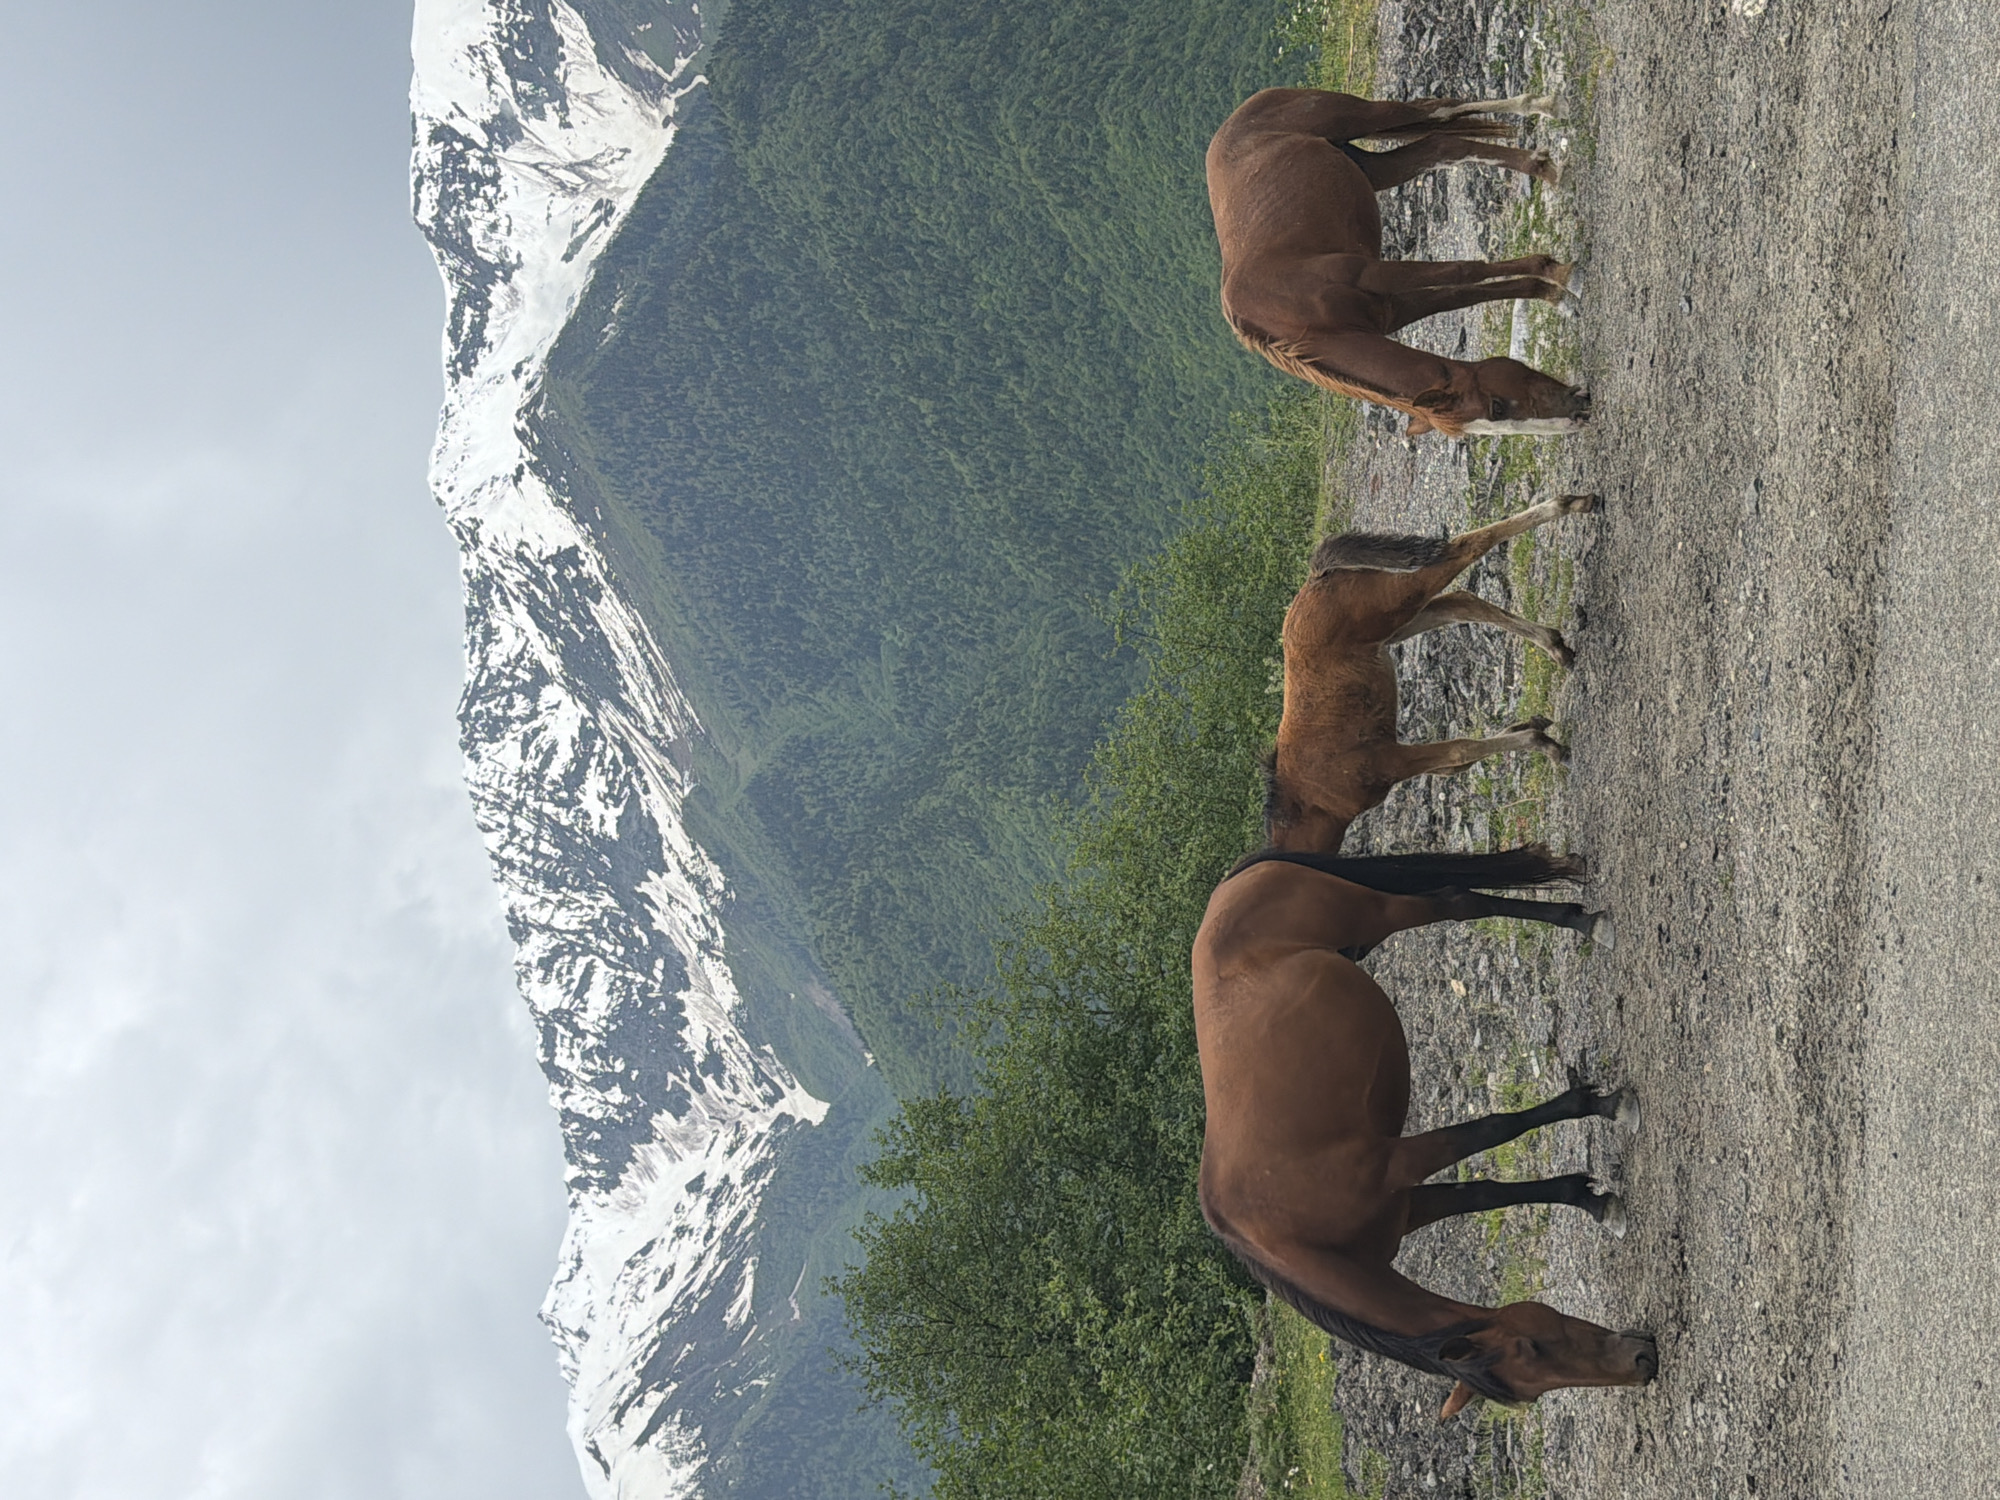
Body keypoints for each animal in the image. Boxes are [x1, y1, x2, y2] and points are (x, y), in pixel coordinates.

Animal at [1192, 845, 1656, 1417]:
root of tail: (1233, 884)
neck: (1287, 1234)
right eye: (1532, 1351)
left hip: (1373, 912)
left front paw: (1603, 1105)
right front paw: (1590, 1198)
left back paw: (1586, 923)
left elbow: (1494, 1127)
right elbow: (1483, 1193)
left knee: (1453, 902)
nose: (1642, 1362)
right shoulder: (1405, 1206)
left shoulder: (1400, 1163)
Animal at [1206, 87, 1591, 437]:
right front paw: (1554, 294)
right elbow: (1466, 292)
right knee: (1441, 145)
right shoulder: (1396, 306)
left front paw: (1560, 276)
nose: (1576, 414)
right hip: (1374, 169)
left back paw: (1547, 110)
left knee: (1436, 110)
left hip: (1361, 117)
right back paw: (1543, 166)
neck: (1301, 319)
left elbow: (1467, 270)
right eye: (1496, 410)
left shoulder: (1372, 274)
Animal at [1267, 492, 1596, 860]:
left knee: (1465, 549)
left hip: (1395, 601)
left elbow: (1460, 752)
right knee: (1461, 602)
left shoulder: (1390, 762)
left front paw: (1546, 745)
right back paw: (1556, 646)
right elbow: (1456, 765)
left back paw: (1573, 504)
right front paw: (1528, 726)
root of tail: (1317, 575)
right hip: (1396, 622)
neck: (1314, 802)